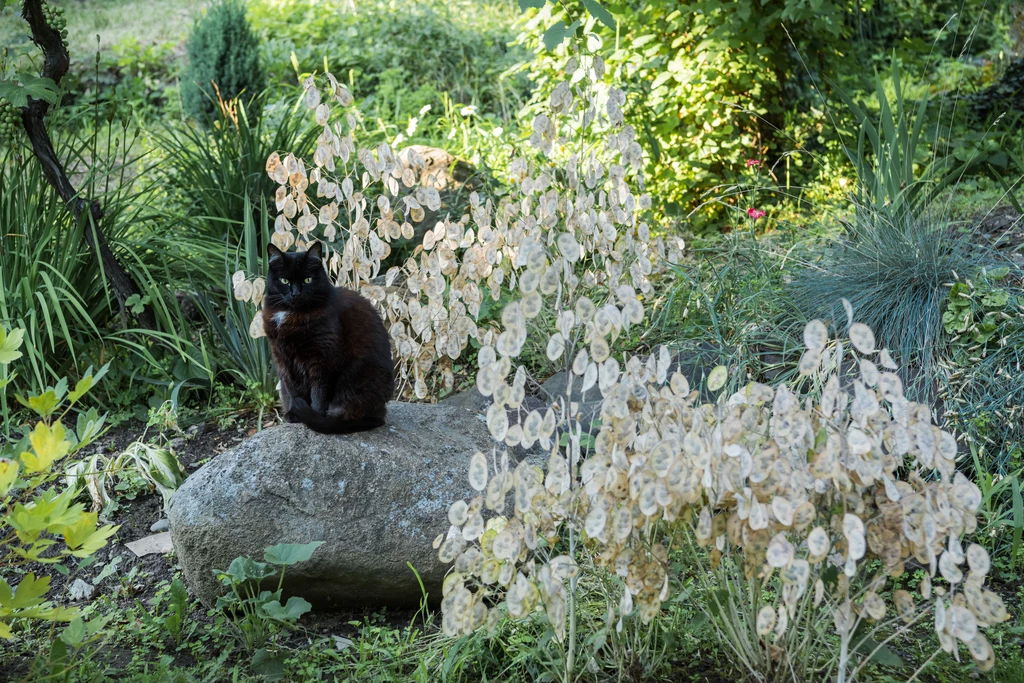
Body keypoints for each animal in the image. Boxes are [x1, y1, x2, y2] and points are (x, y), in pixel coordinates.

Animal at [262, 241, 393, 432]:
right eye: (284, 281)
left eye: (308, 280)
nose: (296, 293)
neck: (292, 315)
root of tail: (381, 411)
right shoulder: (282, 358)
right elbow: (293, 390)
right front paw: (294, 413)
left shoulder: (324, 358)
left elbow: (319, 391)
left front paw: (313, 416)